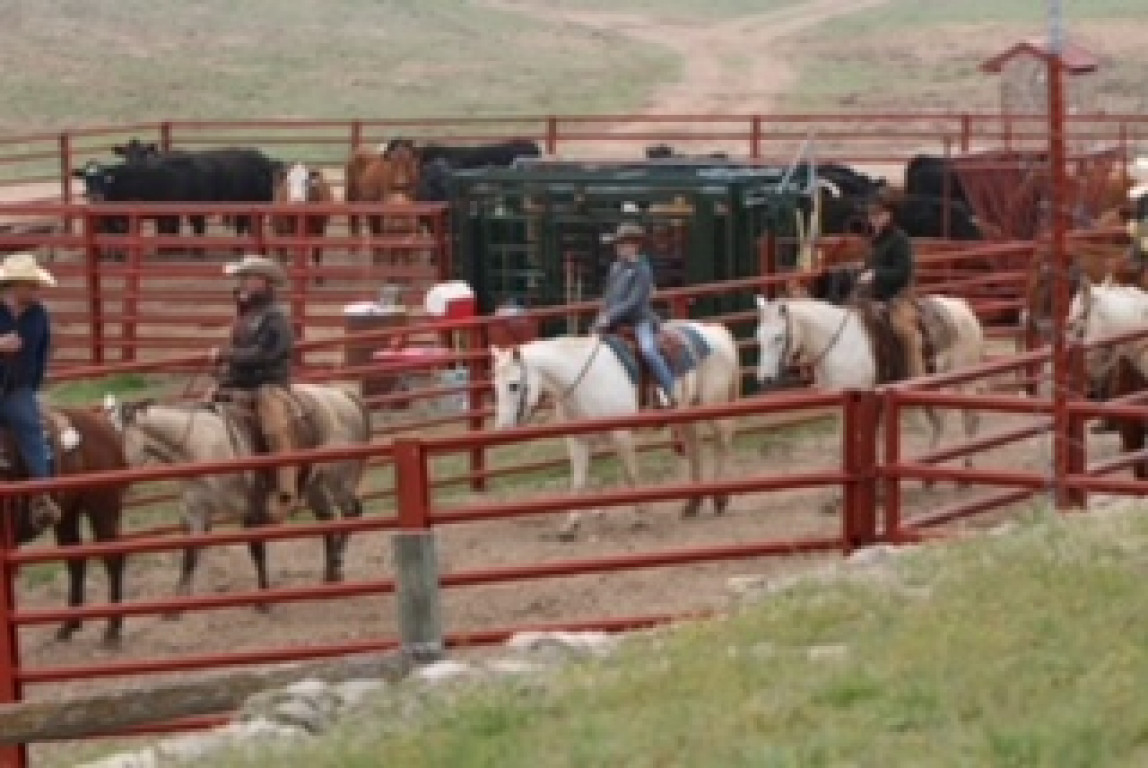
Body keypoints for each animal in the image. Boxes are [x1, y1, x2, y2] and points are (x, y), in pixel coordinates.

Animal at [3, 407, 128, 647]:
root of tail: (106, 424)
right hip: (68, 513)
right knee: (76, 560)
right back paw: (69, 625)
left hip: (102, 508)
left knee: (113, 558)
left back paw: (113, 628)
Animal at [102, 383, 371, 611]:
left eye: (114, 439)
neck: (200, 446)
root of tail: (345, 395)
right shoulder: (195, 510)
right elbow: (189, 555)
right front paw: (176, 607)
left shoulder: (250, 509)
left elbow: (257, 552)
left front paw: (263, 601)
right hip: (317, 486)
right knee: (328, 521)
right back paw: (330, 577)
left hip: (340, 480)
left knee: (352, 512)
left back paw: (337, 565)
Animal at [490, 320, 740, 541]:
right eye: (494, 386)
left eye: (513, 385)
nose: (502, 428)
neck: (587, 380)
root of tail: (715, 330)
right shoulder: (577, 440)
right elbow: (578, 482)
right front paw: (570, 526)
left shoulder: (621, 435)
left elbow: (630, 475)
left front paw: (640, 517)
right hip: (687, 414)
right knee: (695, 449)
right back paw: (692, 504)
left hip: (712, 406)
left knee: (722, 442)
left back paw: (720, 498)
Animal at [753, 294, 985, 506]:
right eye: (759, 337)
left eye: (779, 337)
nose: (765, 379)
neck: (841, 346)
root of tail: (962, 307)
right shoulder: (842, 407)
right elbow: (844, 442)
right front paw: (841, 495)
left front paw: (877, 493)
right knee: (939, 422)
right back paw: (928, 477)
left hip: (964, 380)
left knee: (969, 419)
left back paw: (965, 474)